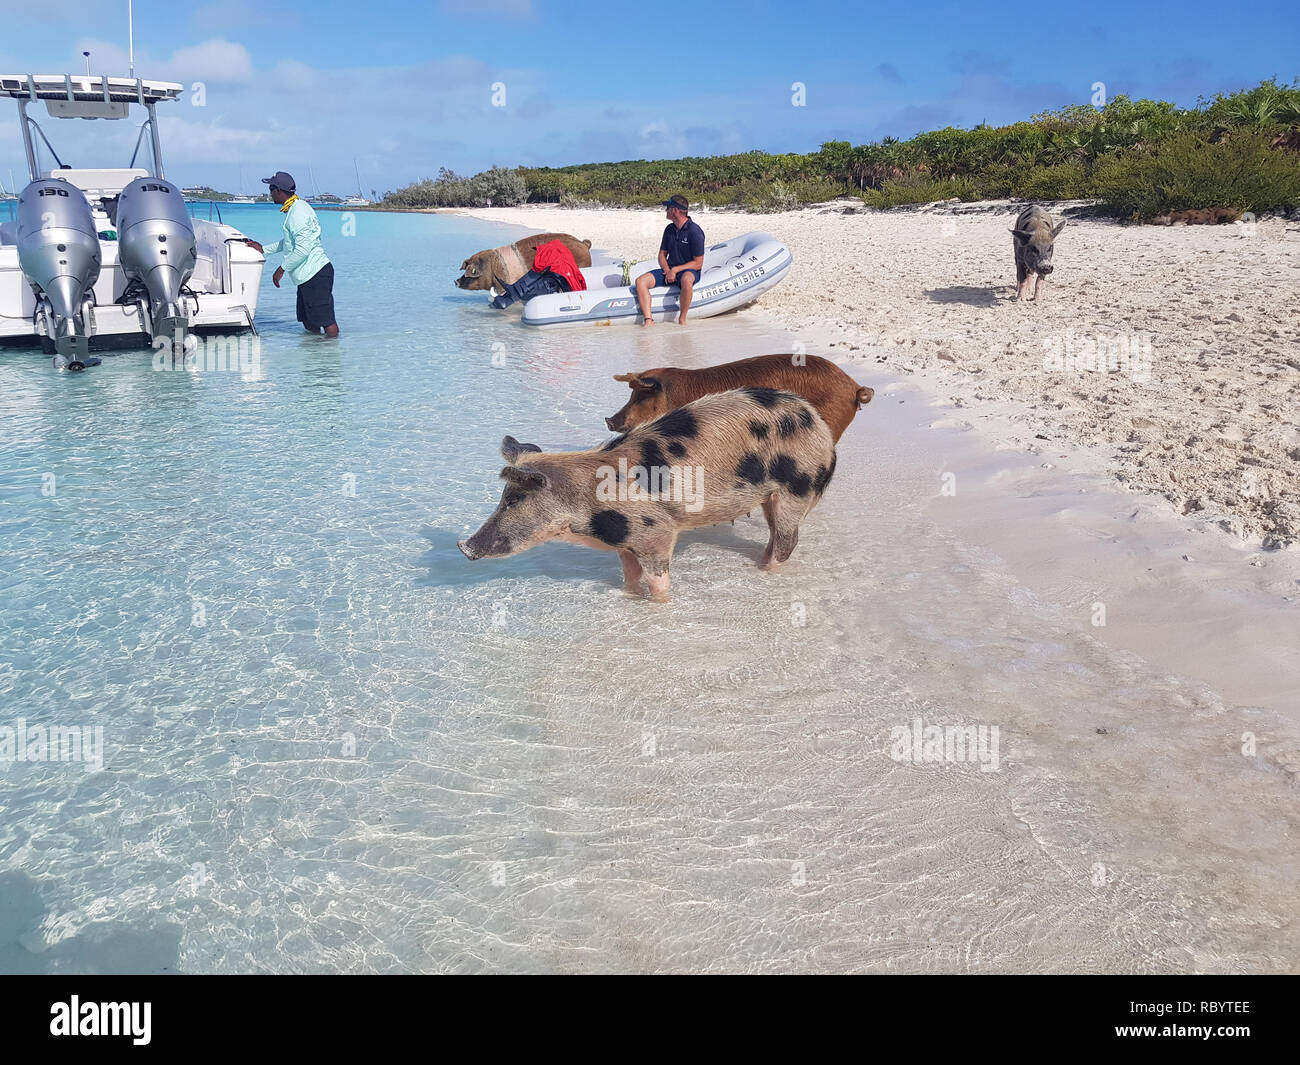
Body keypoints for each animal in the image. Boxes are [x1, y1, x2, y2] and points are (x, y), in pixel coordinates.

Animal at [462, 387, 837, 600]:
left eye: (514, 500)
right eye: (503, 497)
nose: (463, 546)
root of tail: (820, 424)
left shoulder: (655, 531)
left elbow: (659, 582)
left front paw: (657, 605)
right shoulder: (625, 542)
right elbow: (630, 576)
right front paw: (630, 597)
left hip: (797, 487)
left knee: (788, 540)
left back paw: (767, 574)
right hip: (770, 497)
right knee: (774, 536)